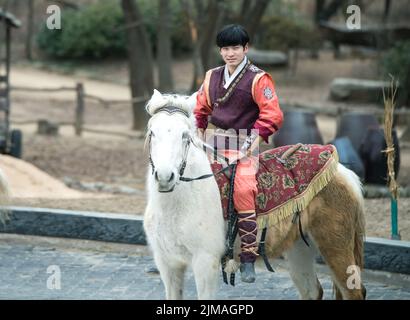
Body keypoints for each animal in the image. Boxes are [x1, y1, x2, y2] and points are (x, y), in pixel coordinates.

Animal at [143, 89, 366, 300]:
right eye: (152, 132)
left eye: (185, 136)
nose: (165, 176)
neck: (182, 202)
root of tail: (343, 172)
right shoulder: (168, 265)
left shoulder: (205, 262)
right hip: (299, 248)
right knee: (312, 291)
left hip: (336, 247)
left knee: (353, 292)